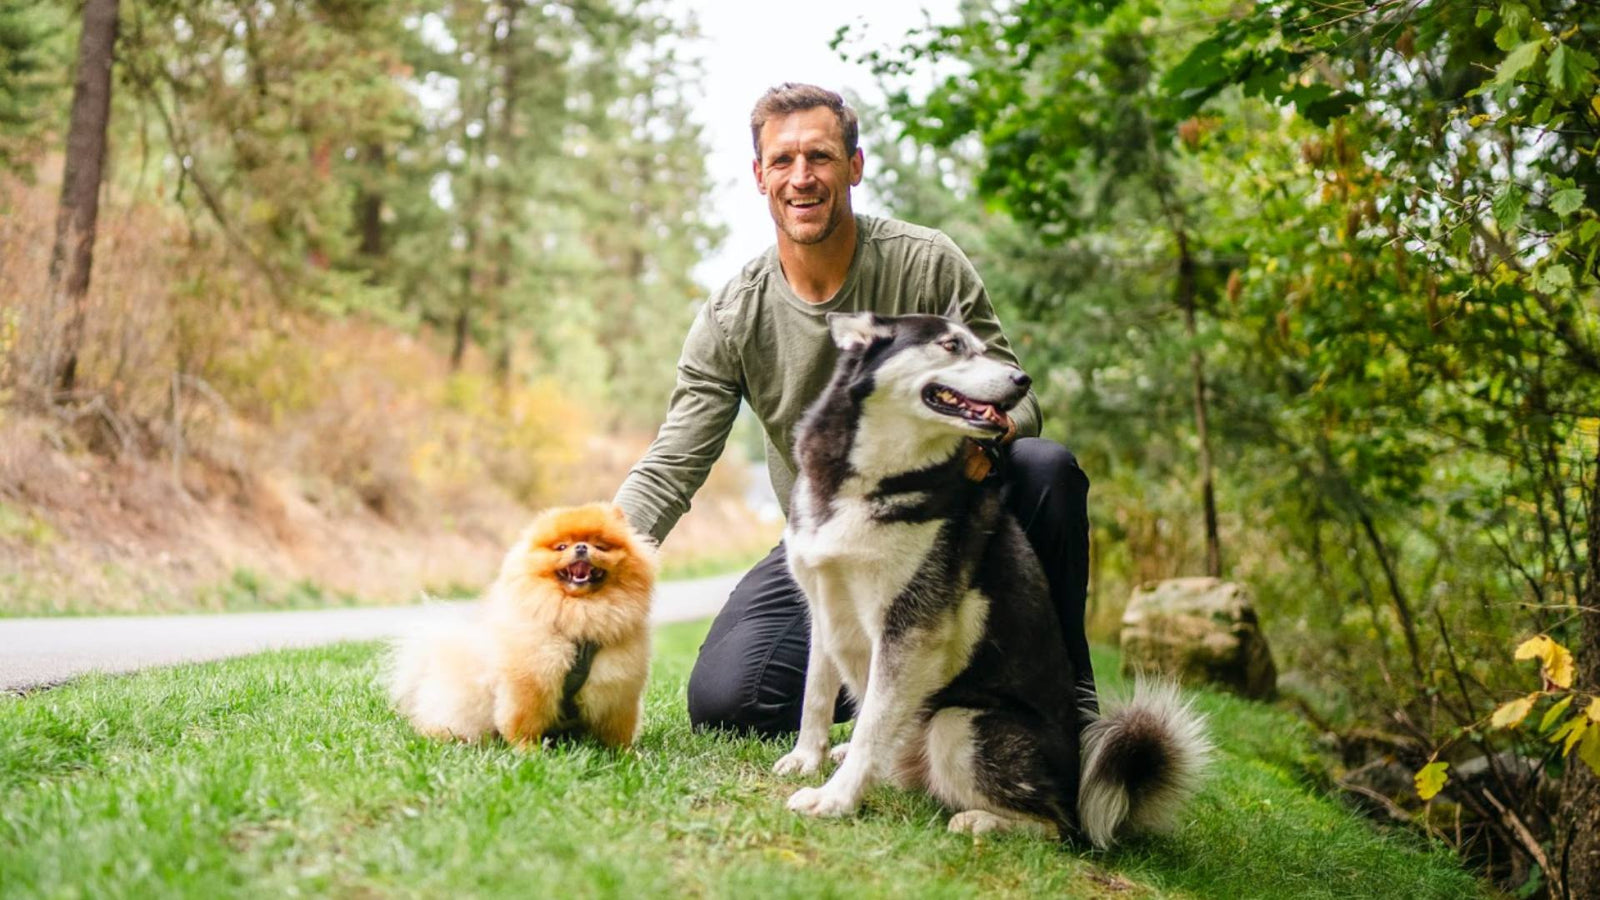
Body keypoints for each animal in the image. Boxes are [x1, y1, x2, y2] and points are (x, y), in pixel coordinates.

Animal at [387, 499, 656, 746]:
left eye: (600, 546)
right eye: (561, 547)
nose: (581, 547)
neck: (580, 612)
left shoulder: (618, 690)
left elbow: (617, 731)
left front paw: (623, 754)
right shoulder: (529, 683)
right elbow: (523, 724)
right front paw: (529, 752)